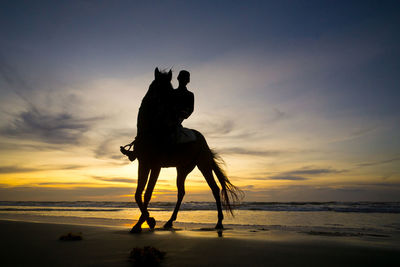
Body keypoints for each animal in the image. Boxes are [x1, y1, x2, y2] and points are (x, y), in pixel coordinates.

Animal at [126, 69, 242, 234]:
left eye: (170, 90)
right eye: (160, 88)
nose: (169, 109)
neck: (150, 132)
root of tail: (202, 140)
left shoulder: (155, 166)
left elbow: (147, 194)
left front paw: (147, 221)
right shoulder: (143, 163)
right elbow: (138, 194)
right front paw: (143, 222)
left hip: (203, 164)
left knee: (214, 188)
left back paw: (219, 222)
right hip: (183, 169)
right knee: (181, 192)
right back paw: (169, 222)